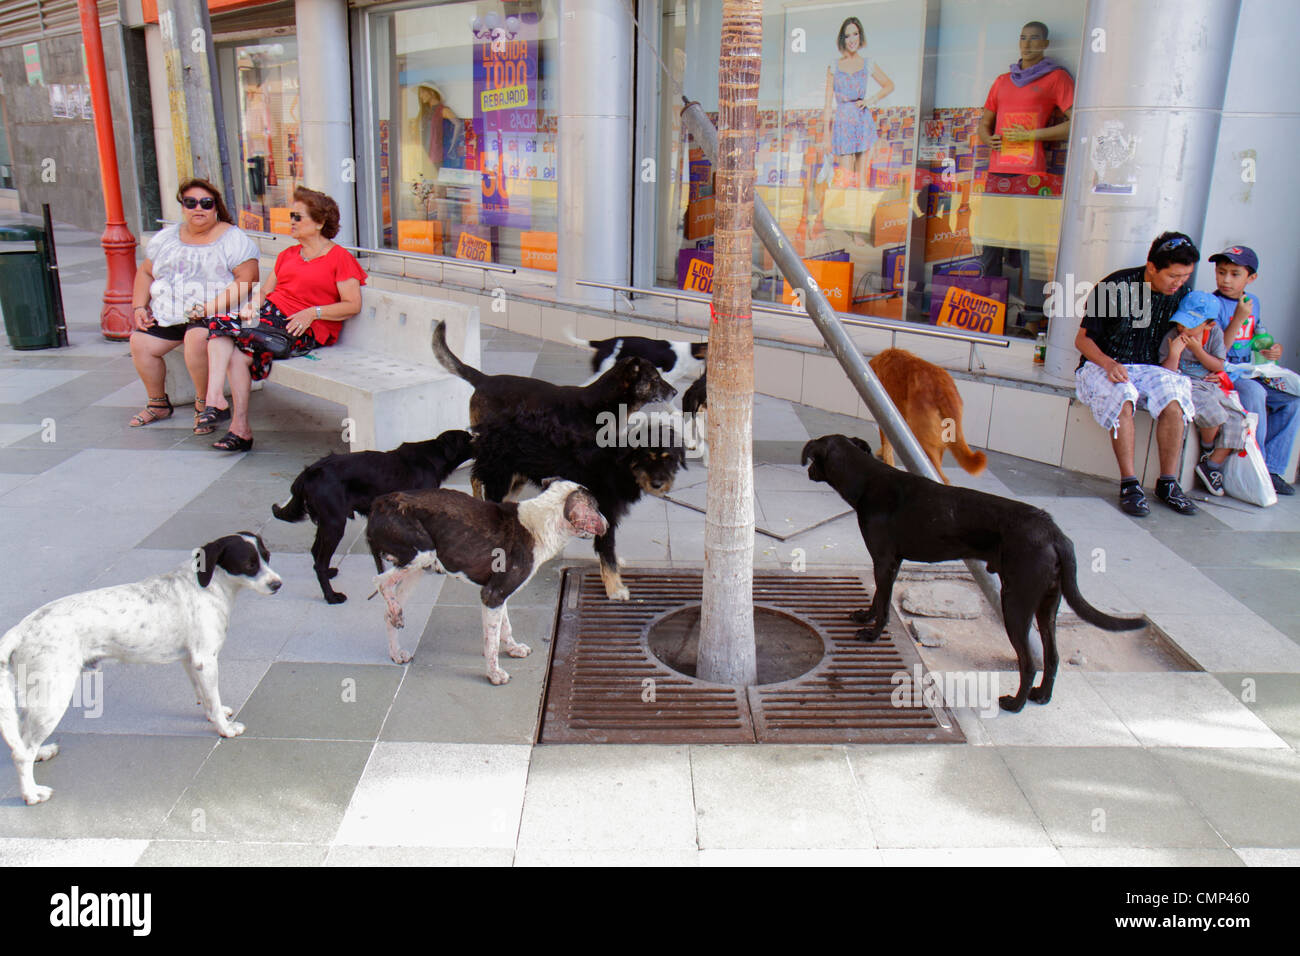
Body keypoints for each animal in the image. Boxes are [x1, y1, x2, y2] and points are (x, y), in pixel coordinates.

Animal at [0, 535, 282, 806]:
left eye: (267, 556)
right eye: (249, 564)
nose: (278, 584)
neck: (207, 587)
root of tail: (20, 630)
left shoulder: (191, 661)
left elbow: (205, 697)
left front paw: (216, 715)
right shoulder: (206, 659)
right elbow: (212, 697)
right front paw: (225, 728)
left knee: (24, 739)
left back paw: (41, 753)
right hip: (53, 697)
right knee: (21, 752)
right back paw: (31, 794)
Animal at [273, 429, 473, 600]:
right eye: (470, 438)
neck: (434, 456)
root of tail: (308, 472)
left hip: (327, 522)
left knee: (315, 553)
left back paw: (330, 574)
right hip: (334, 524)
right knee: (319, 563)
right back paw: (331, 596)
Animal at [366, 478, 608, 681]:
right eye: (597, 507)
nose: (606, 523)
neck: (541, 522)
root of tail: (379, 502)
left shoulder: (500, 595)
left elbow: (505, 627)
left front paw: (513, 648)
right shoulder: (492, 595)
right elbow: (491, 641)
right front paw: (494, 674)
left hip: (419, 568)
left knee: (387, 610)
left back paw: (396, 650)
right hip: (421, 553)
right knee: (380, 581)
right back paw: (396, 613)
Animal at [473, 416, 686, 600]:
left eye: (668, 458)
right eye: (646, 457)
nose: (658, 484)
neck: (620, 465)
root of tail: (485, 429)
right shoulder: (606, 513)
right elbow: (607, 552)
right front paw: (615, 589)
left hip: (515, 481)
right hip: (500, 482)